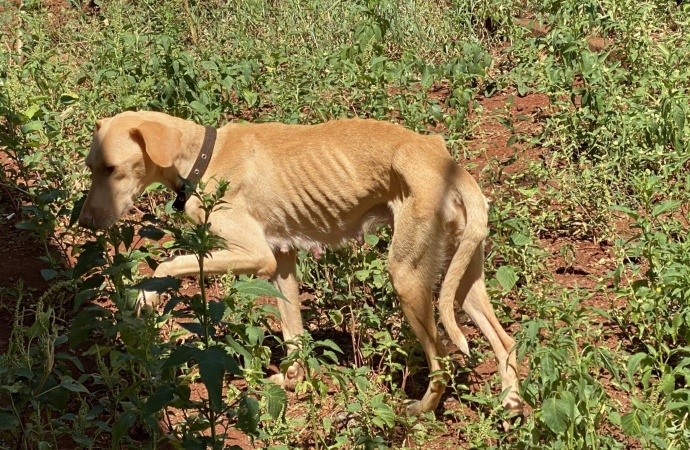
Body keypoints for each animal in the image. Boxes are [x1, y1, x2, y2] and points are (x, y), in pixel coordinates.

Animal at [79, 110, 520, 416]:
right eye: (90, 168)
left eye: (112, 169)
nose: (83, 223)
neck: (204, 155)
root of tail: (446, 162)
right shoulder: (280, 261)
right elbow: (293, 331)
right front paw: (294, 380)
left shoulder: (256, 255)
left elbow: (166, 266)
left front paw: (144, 298)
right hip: (462, 280)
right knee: (505, 341)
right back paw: (512, 404)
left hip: (407, 276)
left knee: (443, 362)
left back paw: (418, 412)